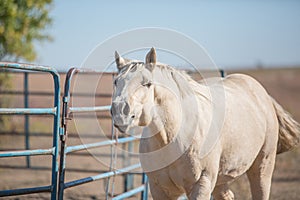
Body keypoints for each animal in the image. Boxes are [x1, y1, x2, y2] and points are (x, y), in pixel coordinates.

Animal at [110, 47, 300, 199]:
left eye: (147, 84)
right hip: (222, 179)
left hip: (262, 167)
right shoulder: (160, 190)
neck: (173, 138)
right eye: (116, 82)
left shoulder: (201, 185)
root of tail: (262, 94)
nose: (120, 112)